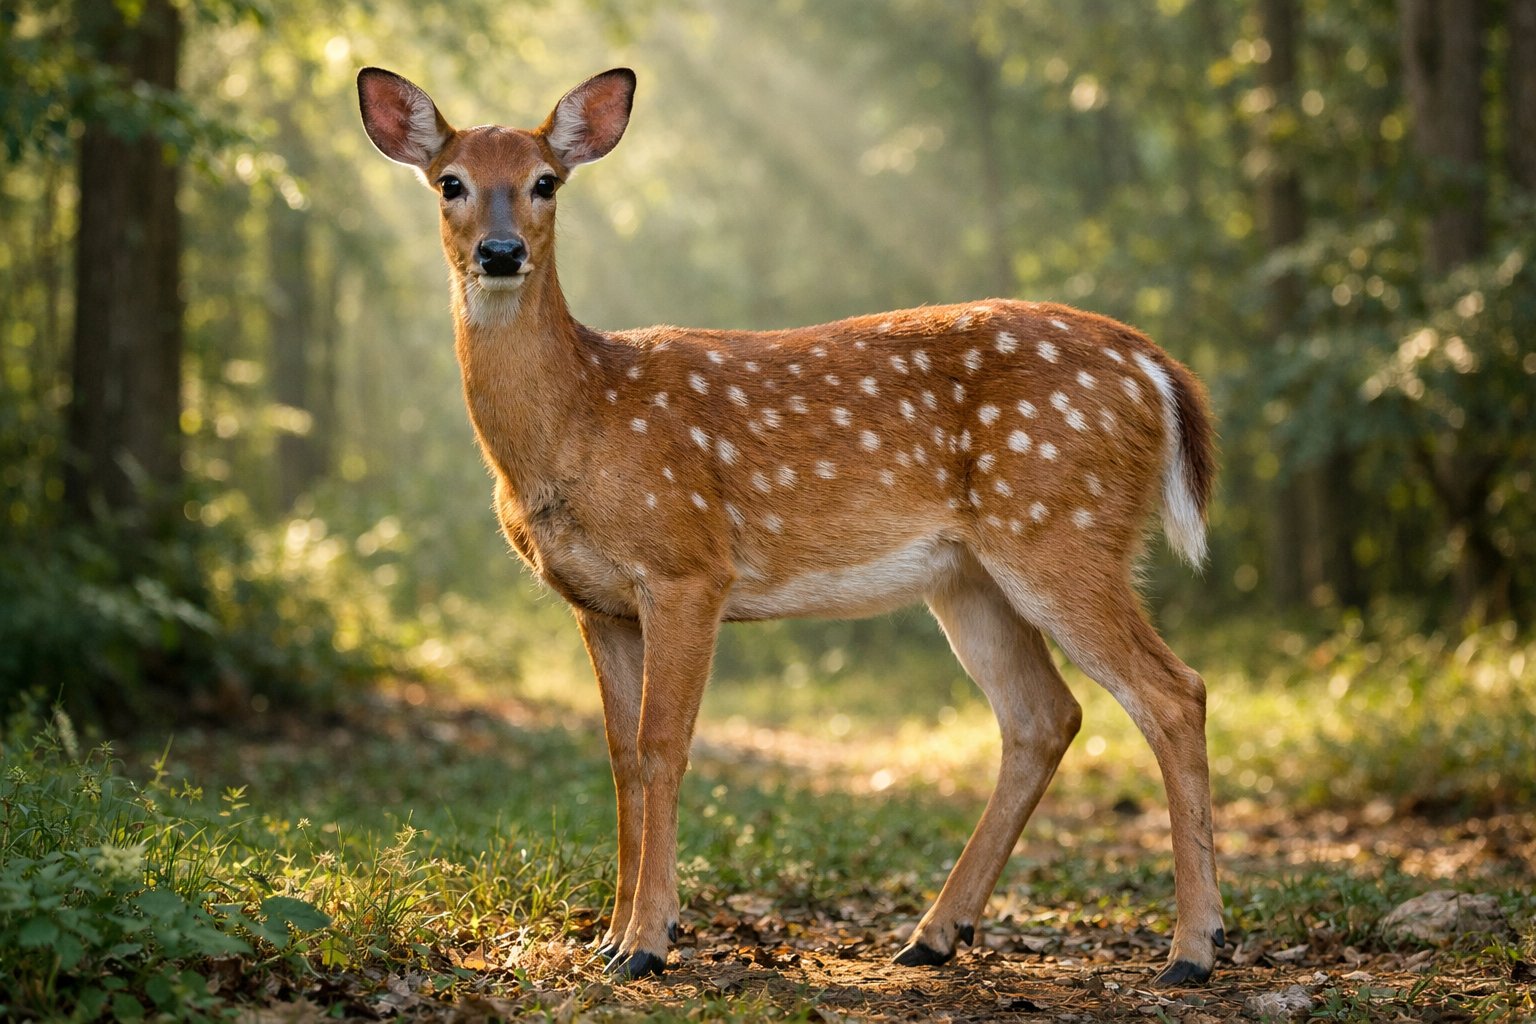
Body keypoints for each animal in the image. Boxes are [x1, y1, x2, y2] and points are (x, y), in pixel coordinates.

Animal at [357, 65, 1225, 987]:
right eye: (450, 182)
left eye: (545, 182)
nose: (500, 253)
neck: (579, 418)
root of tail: (1156, 367)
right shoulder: (598, 604)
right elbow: (622, 758)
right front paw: (608, 937)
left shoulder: (688, 564)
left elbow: (665, 746)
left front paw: (648, 940)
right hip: (970, 575)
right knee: (1043, 717)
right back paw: (933, 934)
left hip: (1063, 527)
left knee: (1173, 693)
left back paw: (1193, 949)